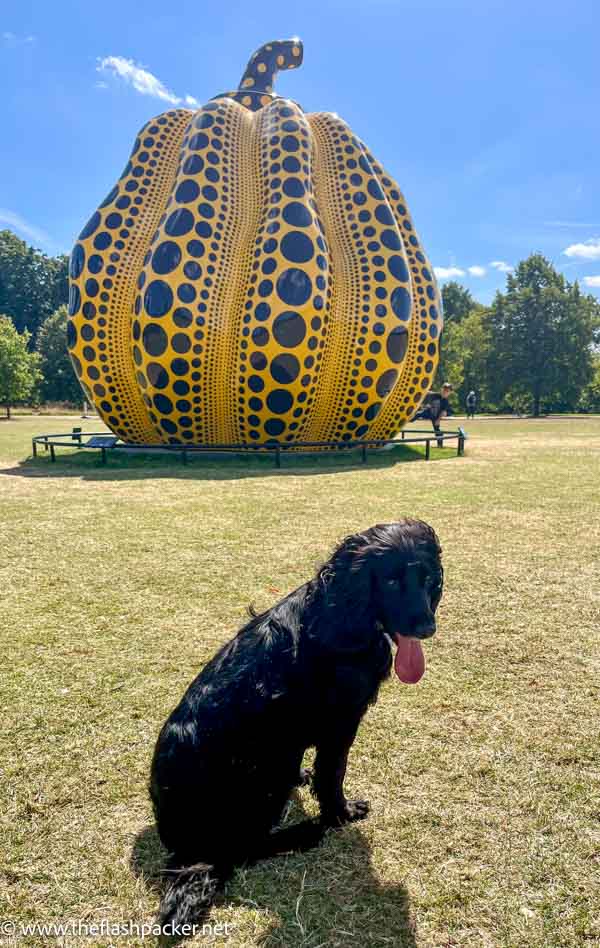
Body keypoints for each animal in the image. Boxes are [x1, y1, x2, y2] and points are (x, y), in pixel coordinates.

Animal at [149, 520, 440, 924]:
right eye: (392, 581)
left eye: (428, 579)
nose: (427, 627)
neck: (338, 612)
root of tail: (186, 850)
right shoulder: (340, 724)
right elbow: (332, 775)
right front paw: (340, 814)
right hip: (264, 768)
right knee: (243, 847)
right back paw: (302, 833)